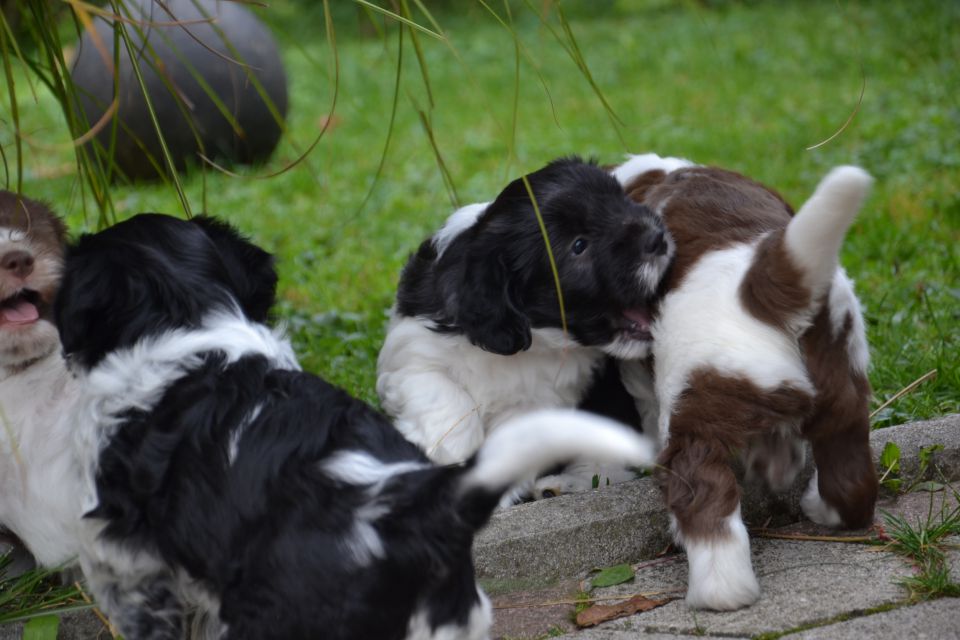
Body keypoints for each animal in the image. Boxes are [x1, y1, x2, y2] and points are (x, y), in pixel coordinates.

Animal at [378, 156, 672, 496]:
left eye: (623, 203)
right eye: (579, 245)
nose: (657, 237)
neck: (529, 338)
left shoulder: (540, 402)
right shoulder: (414, 353)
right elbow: (445, 399)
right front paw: (447, 459)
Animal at [616, 154, 876, 608]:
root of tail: (761, 285)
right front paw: (775, 464)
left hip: (692, 406)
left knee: (703, 493)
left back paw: (721, 592)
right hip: (841, 376)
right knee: (849, 460)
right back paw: (823, 507)